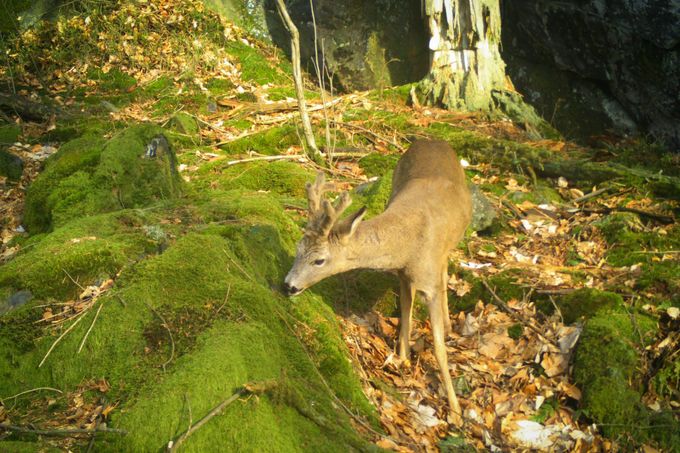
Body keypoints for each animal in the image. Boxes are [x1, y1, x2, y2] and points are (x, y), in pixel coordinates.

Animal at [282, 139, 472, 426]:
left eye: (319, 260)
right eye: (297, 248)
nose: (289, 285)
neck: (407, 244)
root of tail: (431, 140)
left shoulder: (427, 280)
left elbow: (439, 347)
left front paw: (456, 412)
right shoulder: (404, 273)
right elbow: (405, 312)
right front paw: (403, 360)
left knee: (445, 266)